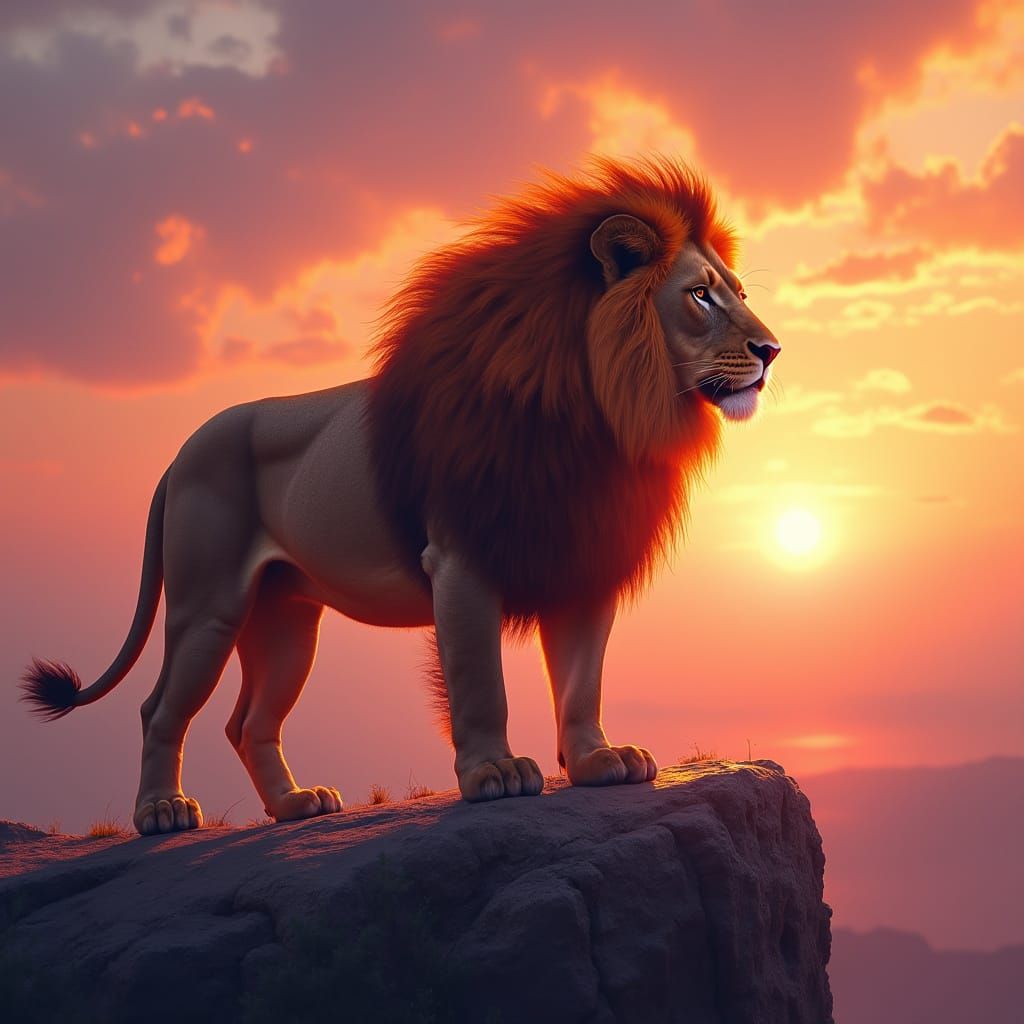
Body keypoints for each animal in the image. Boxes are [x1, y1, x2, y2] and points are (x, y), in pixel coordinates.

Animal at [21, 155, 780, 835]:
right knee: (159, 709)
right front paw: (494, 773)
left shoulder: (582, 557)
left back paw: (295, 805)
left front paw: (598, 761)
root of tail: (179, 453)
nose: (772, 350)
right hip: (208, 605)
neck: (601, 414)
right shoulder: (463, 560)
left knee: (248, 722)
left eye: (739, 293)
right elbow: (480, 680)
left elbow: (580, 677)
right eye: (701, 296)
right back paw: (162, 812)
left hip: (287, 618)